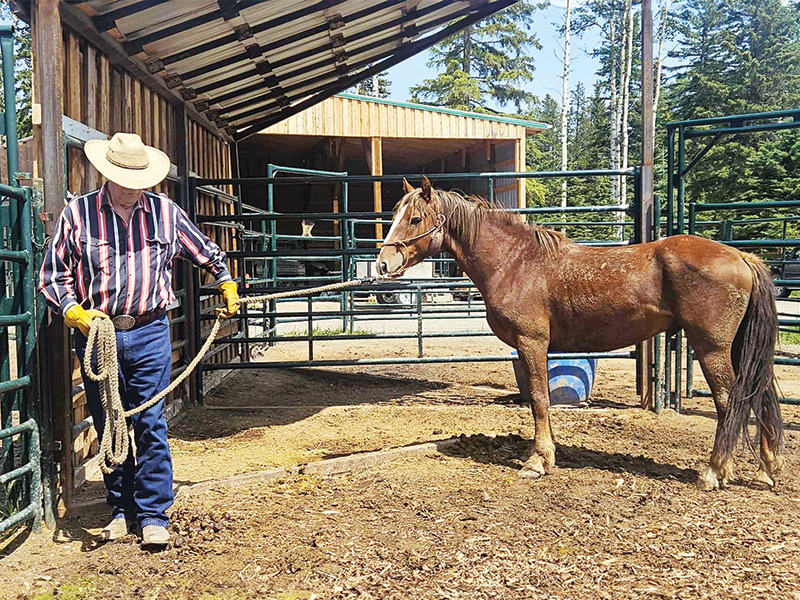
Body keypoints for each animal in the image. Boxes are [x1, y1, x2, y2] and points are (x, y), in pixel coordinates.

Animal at [376, 176, 784, 491]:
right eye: (395, 215)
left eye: (415, 218)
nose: (383, 263)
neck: (516, 262)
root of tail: (742, 257)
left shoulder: (532, 343)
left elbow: (539, 400)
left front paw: (538, 461)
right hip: (737, 348)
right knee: (759, 395)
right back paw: (766, 470)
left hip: (711, 348)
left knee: (730, 401)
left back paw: (714, 471)